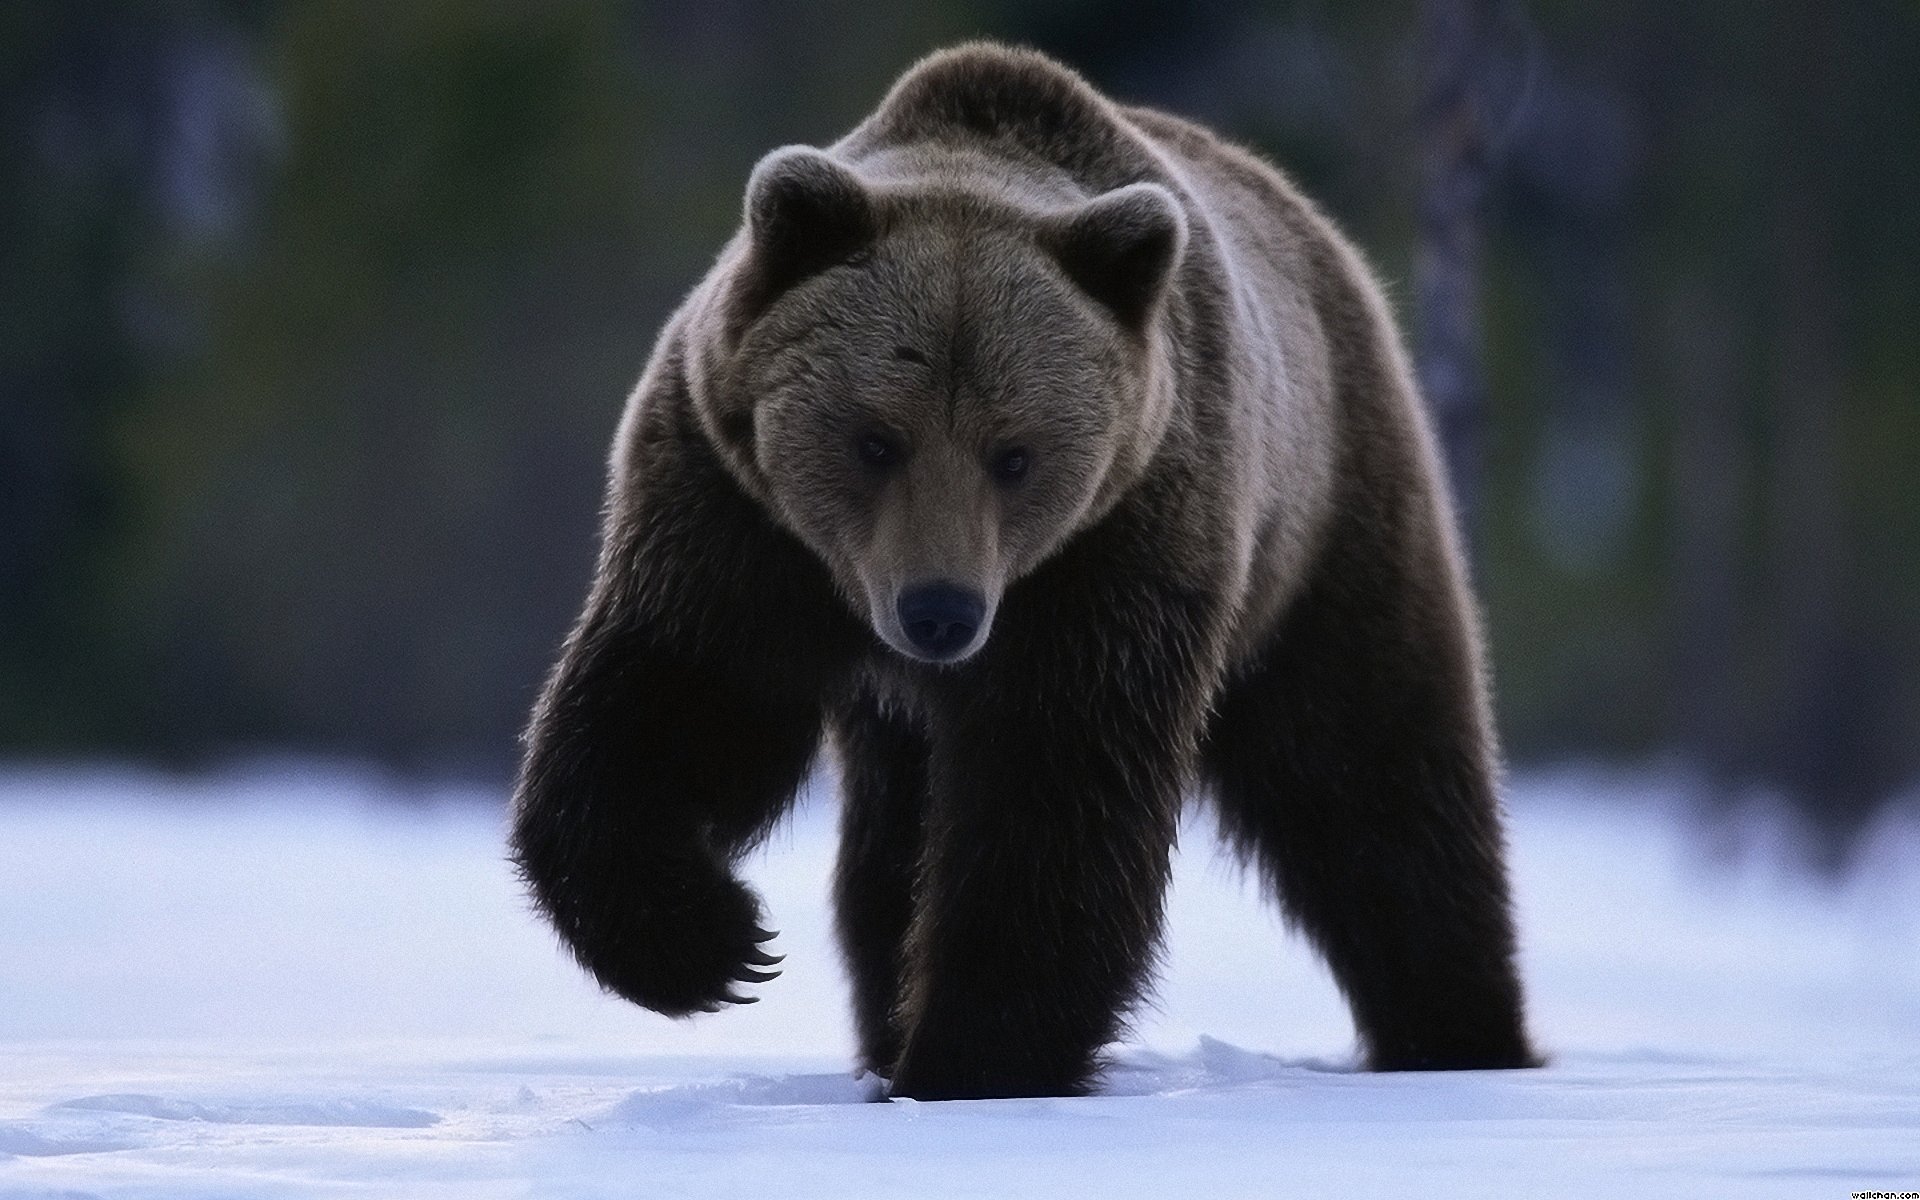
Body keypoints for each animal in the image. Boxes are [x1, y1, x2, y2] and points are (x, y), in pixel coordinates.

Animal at [506, 44, 1528, 1098]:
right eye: (876, 439)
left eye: (1016, 454)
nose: (940, 611)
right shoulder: (735, 518)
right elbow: (679, 701)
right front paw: (713, 945)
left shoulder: (1118, 550)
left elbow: (1055, 794)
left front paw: (970, 1058)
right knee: (889, 849)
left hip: (1328, 525)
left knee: (1372, 778)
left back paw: (1459, 1033)